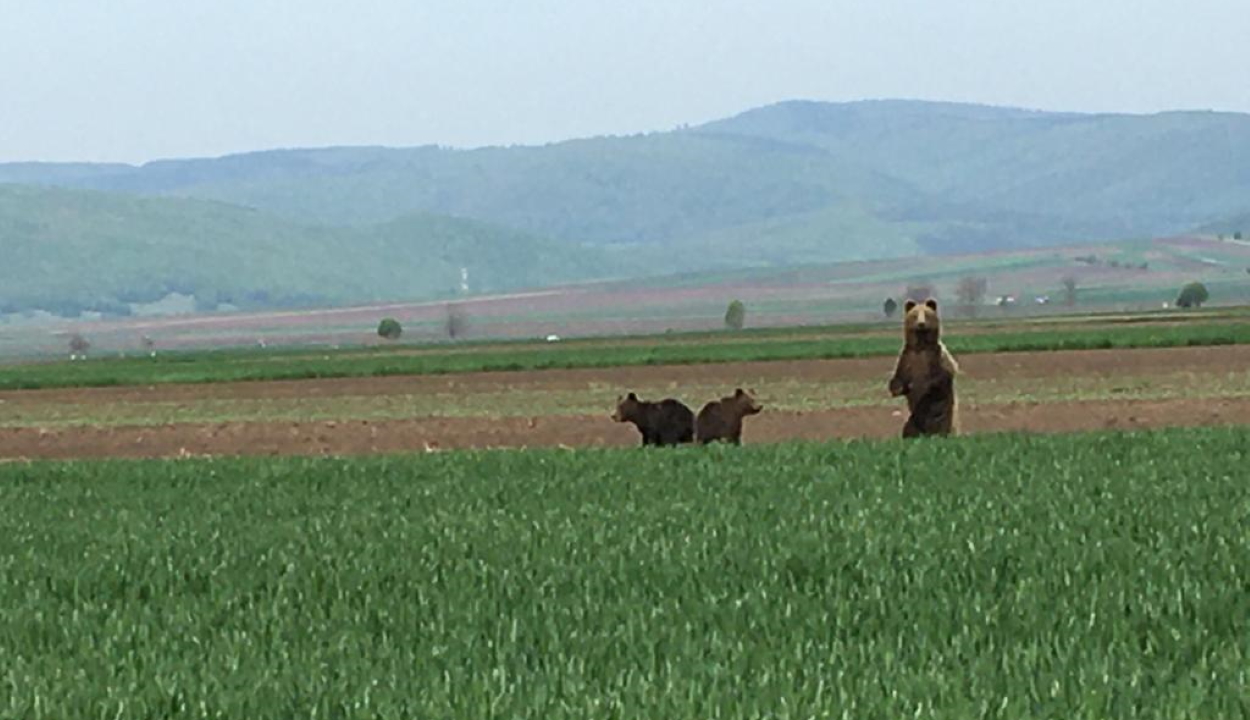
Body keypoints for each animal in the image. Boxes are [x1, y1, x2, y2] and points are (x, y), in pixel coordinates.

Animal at [885, 296, 960, 435]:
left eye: (926, 314)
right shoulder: (907, 357)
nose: (921, 324)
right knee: (908, 428)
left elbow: (942, 377)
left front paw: (928, 385)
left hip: (942, 417)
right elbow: (899, 377)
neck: (921, 346)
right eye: (915, 315)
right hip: (913, 421)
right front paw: (898, 388)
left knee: (939, 425)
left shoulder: (937, 357)